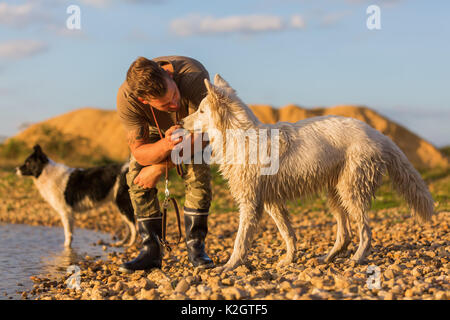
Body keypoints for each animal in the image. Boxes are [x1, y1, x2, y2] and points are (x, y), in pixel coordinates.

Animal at [181, 74, 434, 270]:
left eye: (201, 111)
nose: (182, 122)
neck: (241, 136)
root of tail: (379, 134)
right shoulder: (272, 202)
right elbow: (288, 234)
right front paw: (289, 261)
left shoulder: (250, 203)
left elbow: (240, 240)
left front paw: (229, 266)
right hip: (335, 195)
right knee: (345, 234)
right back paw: (328, 258)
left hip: (351, 192)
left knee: (365, 232)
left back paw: (357, 258)